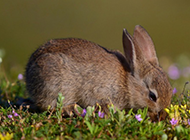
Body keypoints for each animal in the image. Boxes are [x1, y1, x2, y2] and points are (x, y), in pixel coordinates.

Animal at [24, 24, 172, 120]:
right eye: (152, 96)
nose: (161, 114)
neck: (127, 82)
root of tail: (28, 75)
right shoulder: (102, 93)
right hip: (55, 84)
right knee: (48, 106)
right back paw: (70, 109)